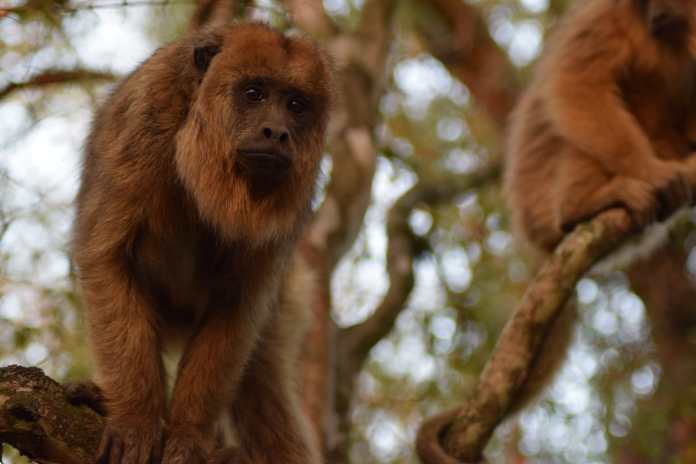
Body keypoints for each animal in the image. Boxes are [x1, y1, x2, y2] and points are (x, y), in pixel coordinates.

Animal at [73, 22, 332, 464]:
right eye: (253, 93)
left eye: (296, 104)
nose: (277, 132)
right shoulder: (146, 117)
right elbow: (107, 258)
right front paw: (135, 420)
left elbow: (239, 303)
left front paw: (188, 435)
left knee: (262, 384)